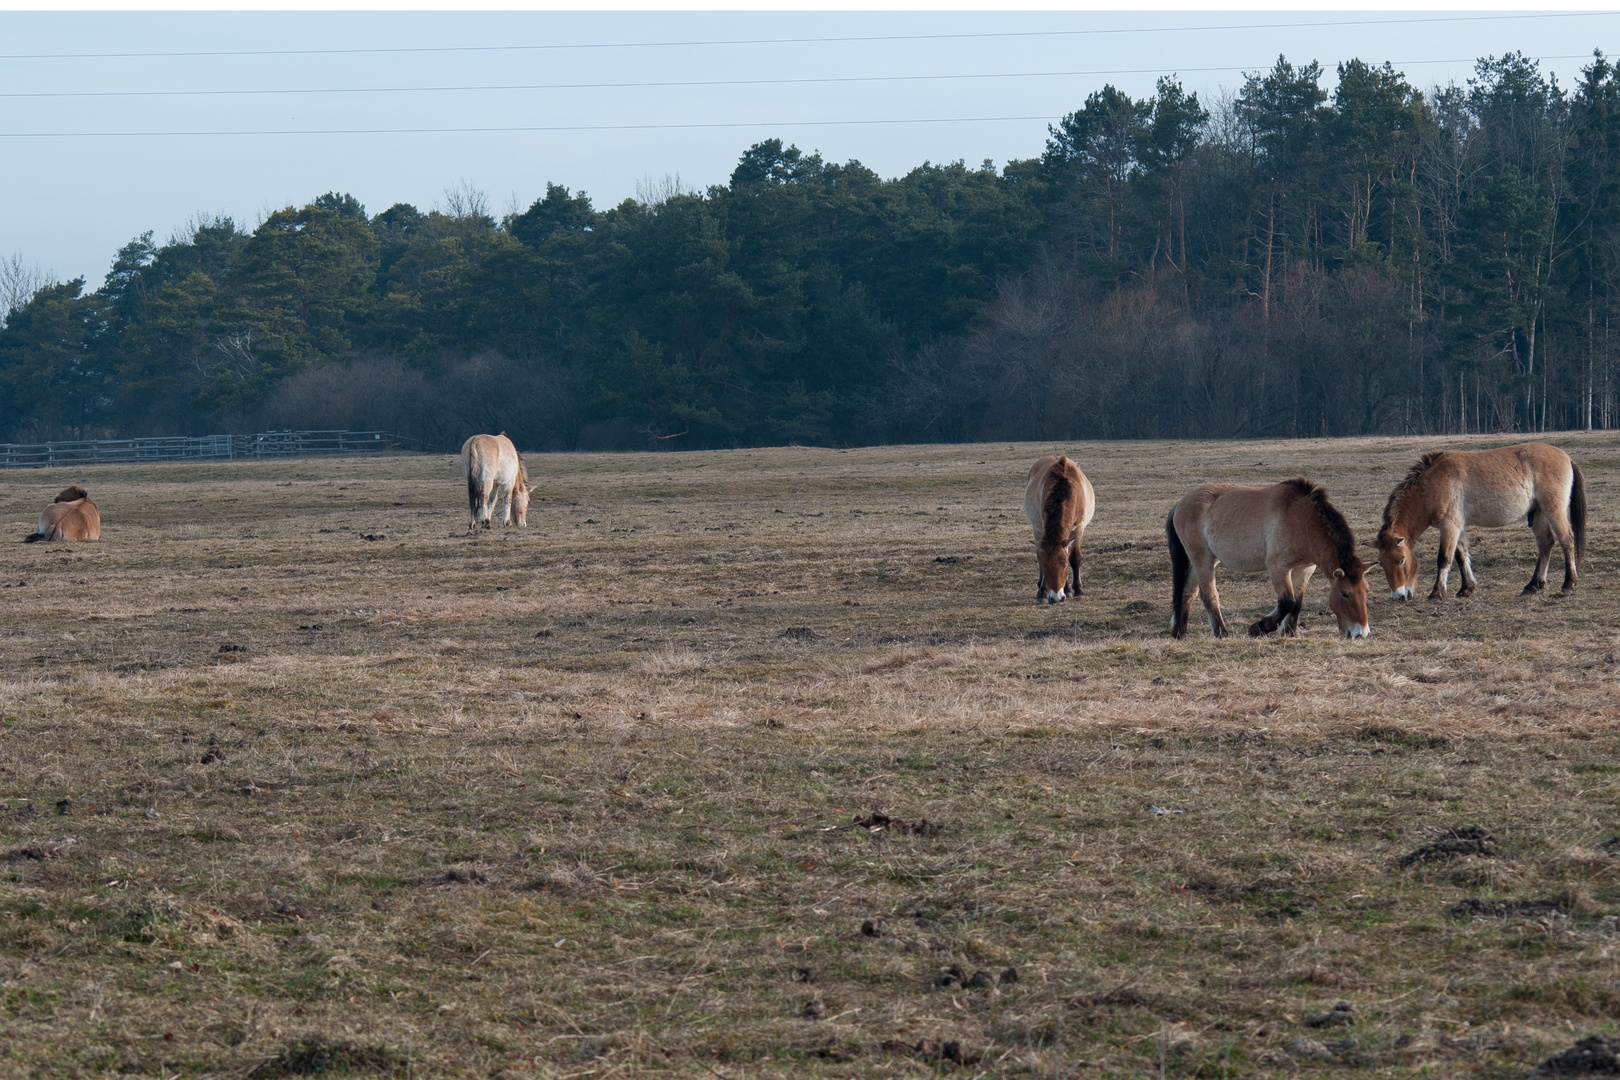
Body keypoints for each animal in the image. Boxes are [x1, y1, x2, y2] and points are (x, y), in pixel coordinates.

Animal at [1017, 456, 1095, 605]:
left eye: (1064, 566)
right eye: (1046, 566)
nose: (1056, 598)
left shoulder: (1079, 528)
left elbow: (1074, 557)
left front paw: (1078, 591)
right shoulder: (1042, 528)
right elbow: (1041, 557)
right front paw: (1042, 593)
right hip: (1037, 529)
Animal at [1166, 476, 1367, 637]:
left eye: (1365, 591)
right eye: (1345, 594)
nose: (1360, 633)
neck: (1301, 520)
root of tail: (1180, 503)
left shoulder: (1304, 569)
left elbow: (1297, 603)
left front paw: (1288, 633)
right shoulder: (1278, 567)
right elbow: (1287, 602)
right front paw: (1259, 627)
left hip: (1204, 560)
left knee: (1187, 592)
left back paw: (1179, 633)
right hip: (1203, 559)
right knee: (1208, 594)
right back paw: (1221, 633)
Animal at [1373, 443, 1587, 605]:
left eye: (1401, 560)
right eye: (1381, 563)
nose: (1398, 596)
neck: (1430, 486)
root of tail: (1566, 457)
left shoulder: (1449, 525)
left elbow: (1444, 558)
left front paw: (1437, 593)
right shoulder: (1458, 526)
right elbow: (1461, 556)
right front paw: (1466, 589)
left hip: (1553, 510)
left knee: (1567, 540)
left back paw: (1569, 584)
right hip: (1538, 513)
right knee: (1545, 543)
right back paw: (1533, 585)